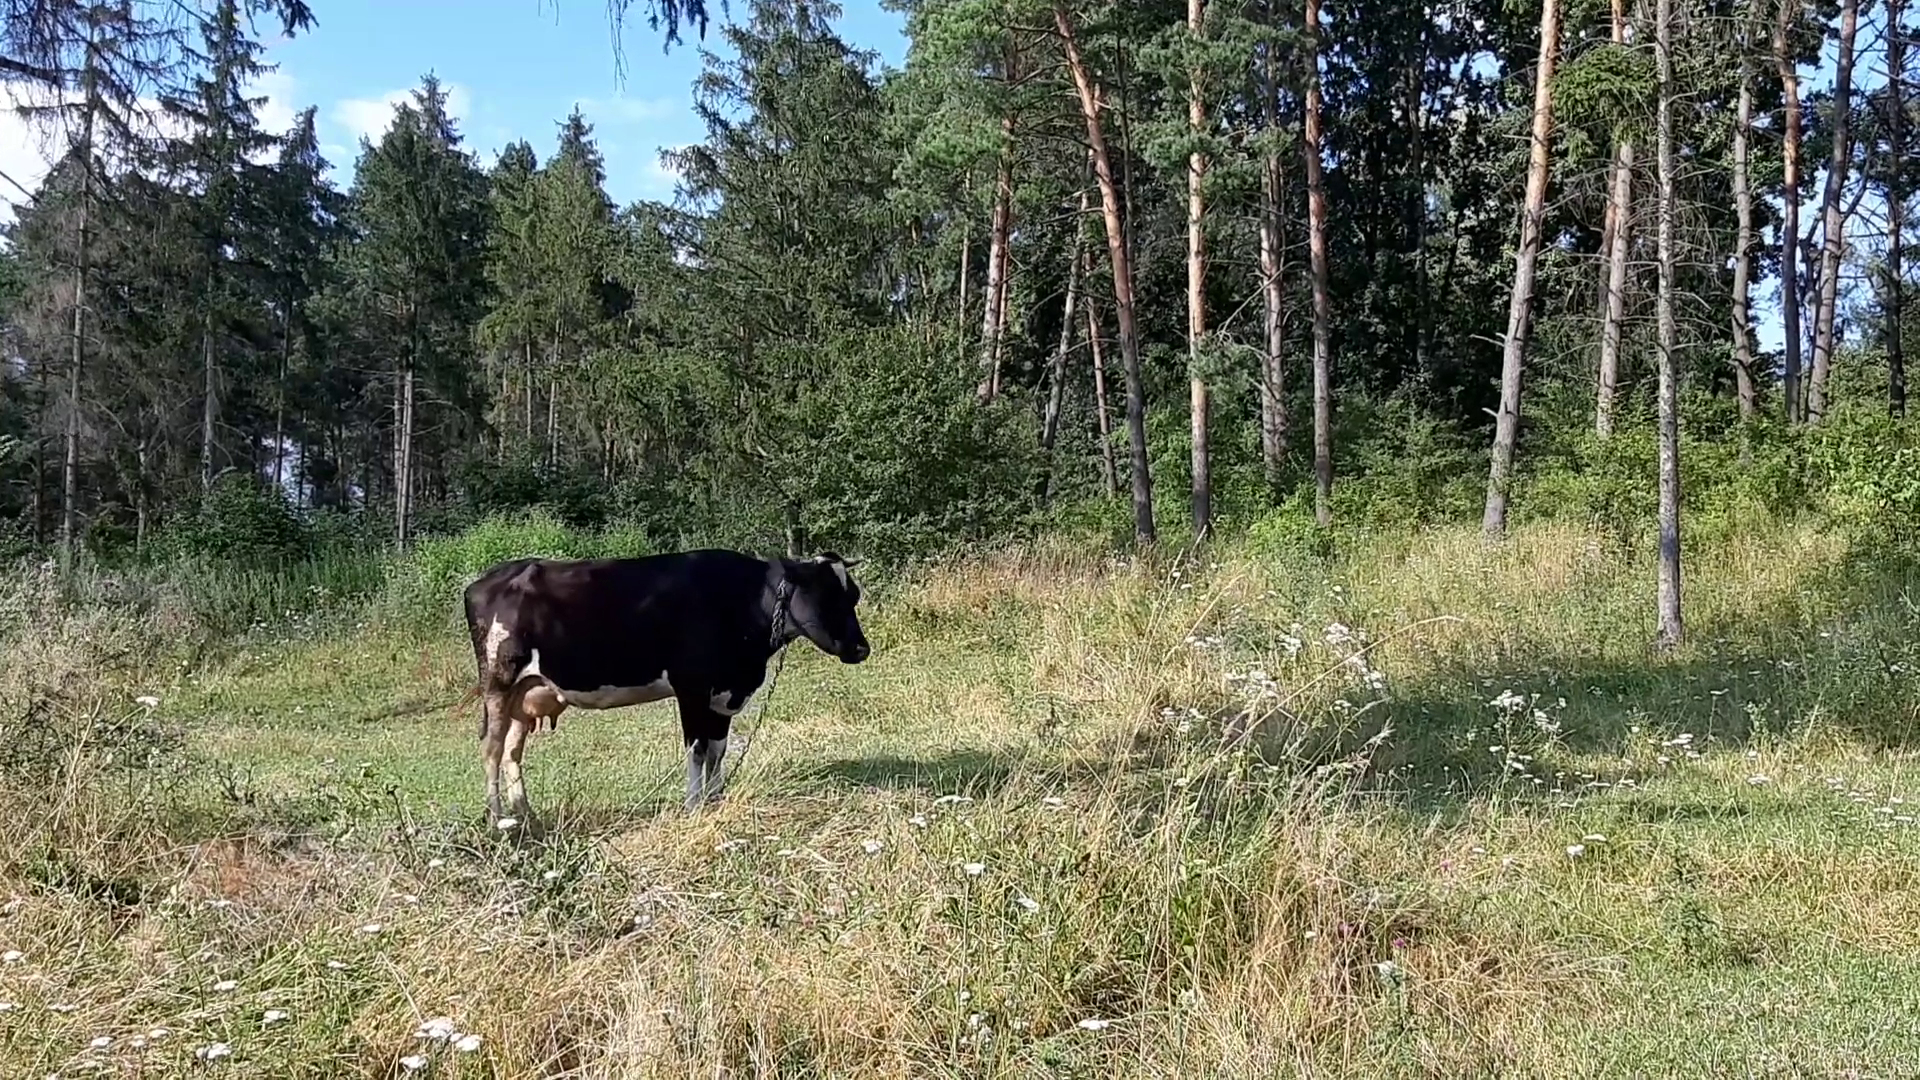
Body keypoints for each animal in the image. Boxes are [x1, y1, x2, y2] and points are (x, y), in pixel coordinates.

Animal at [461, 548, 871, 828]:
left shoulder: (722, 695)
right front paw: (693, 806)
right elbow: (697, 749)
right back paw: (497, 821)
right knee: (491, 749)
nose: (861, 649)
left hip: (526, 693)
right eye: (826, 596)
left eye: (854, 596)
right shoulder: (691, 687)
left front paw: (716, 801)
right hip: (497, 683)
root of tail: (490, 578)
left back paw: (524, 816)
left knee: (512, 751)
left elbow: (717, 750)